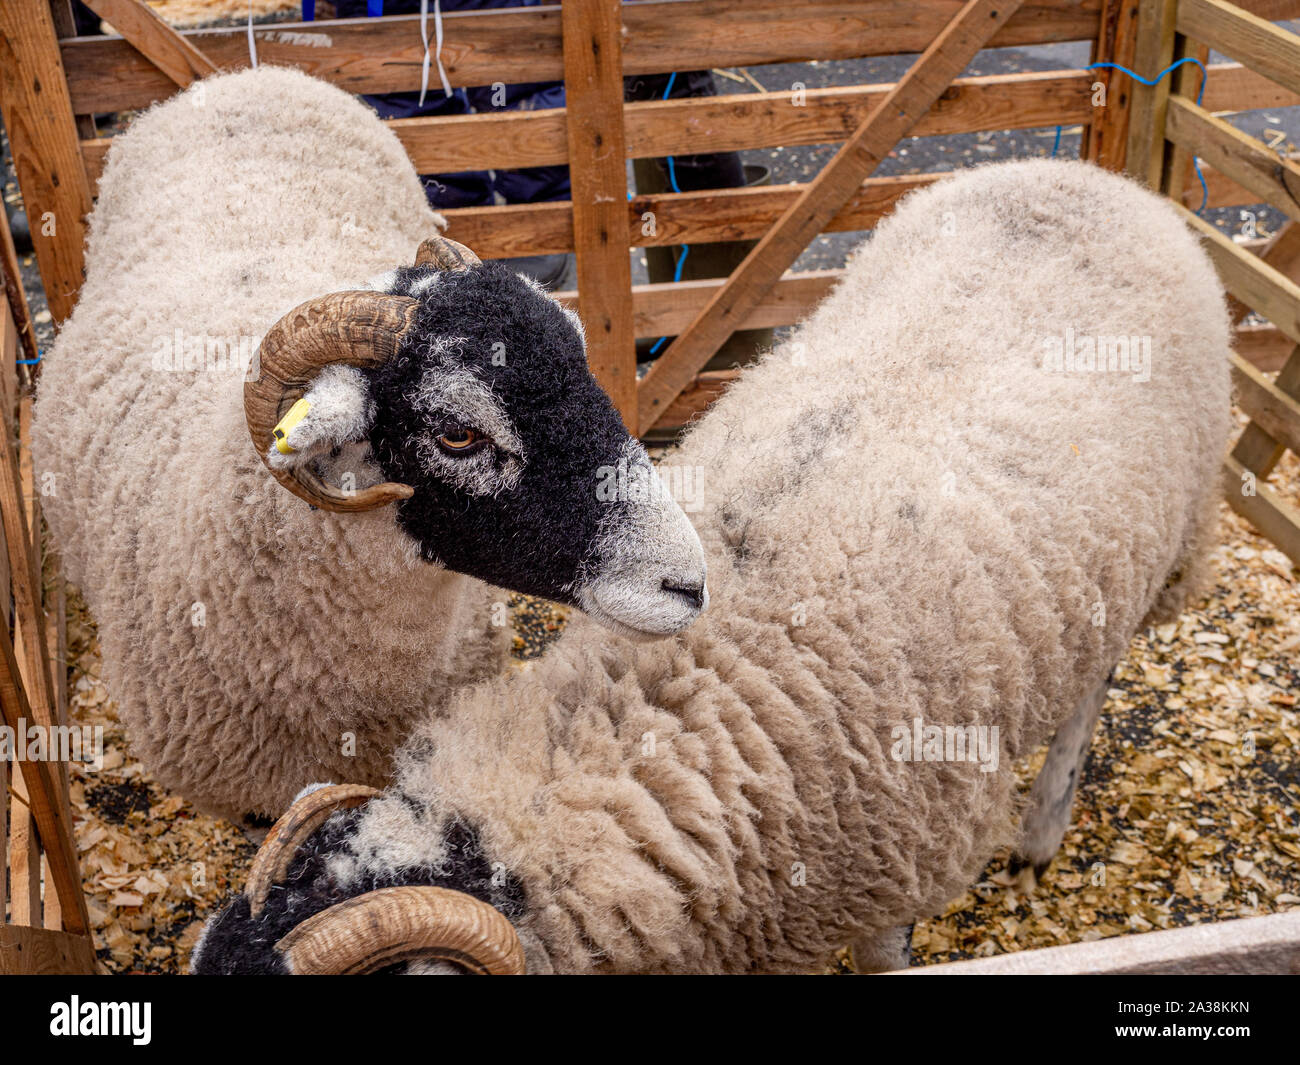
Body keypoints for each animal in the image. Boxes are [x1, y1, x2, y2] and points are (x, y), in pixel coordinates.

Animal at [190, 157, 1232, 974]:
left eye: (458, 432)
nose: (687, 584)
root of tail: (1097, 177)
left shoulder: (899, 879)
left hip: (1162, 542)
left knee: (1092, 684)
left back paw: (1041, 830)